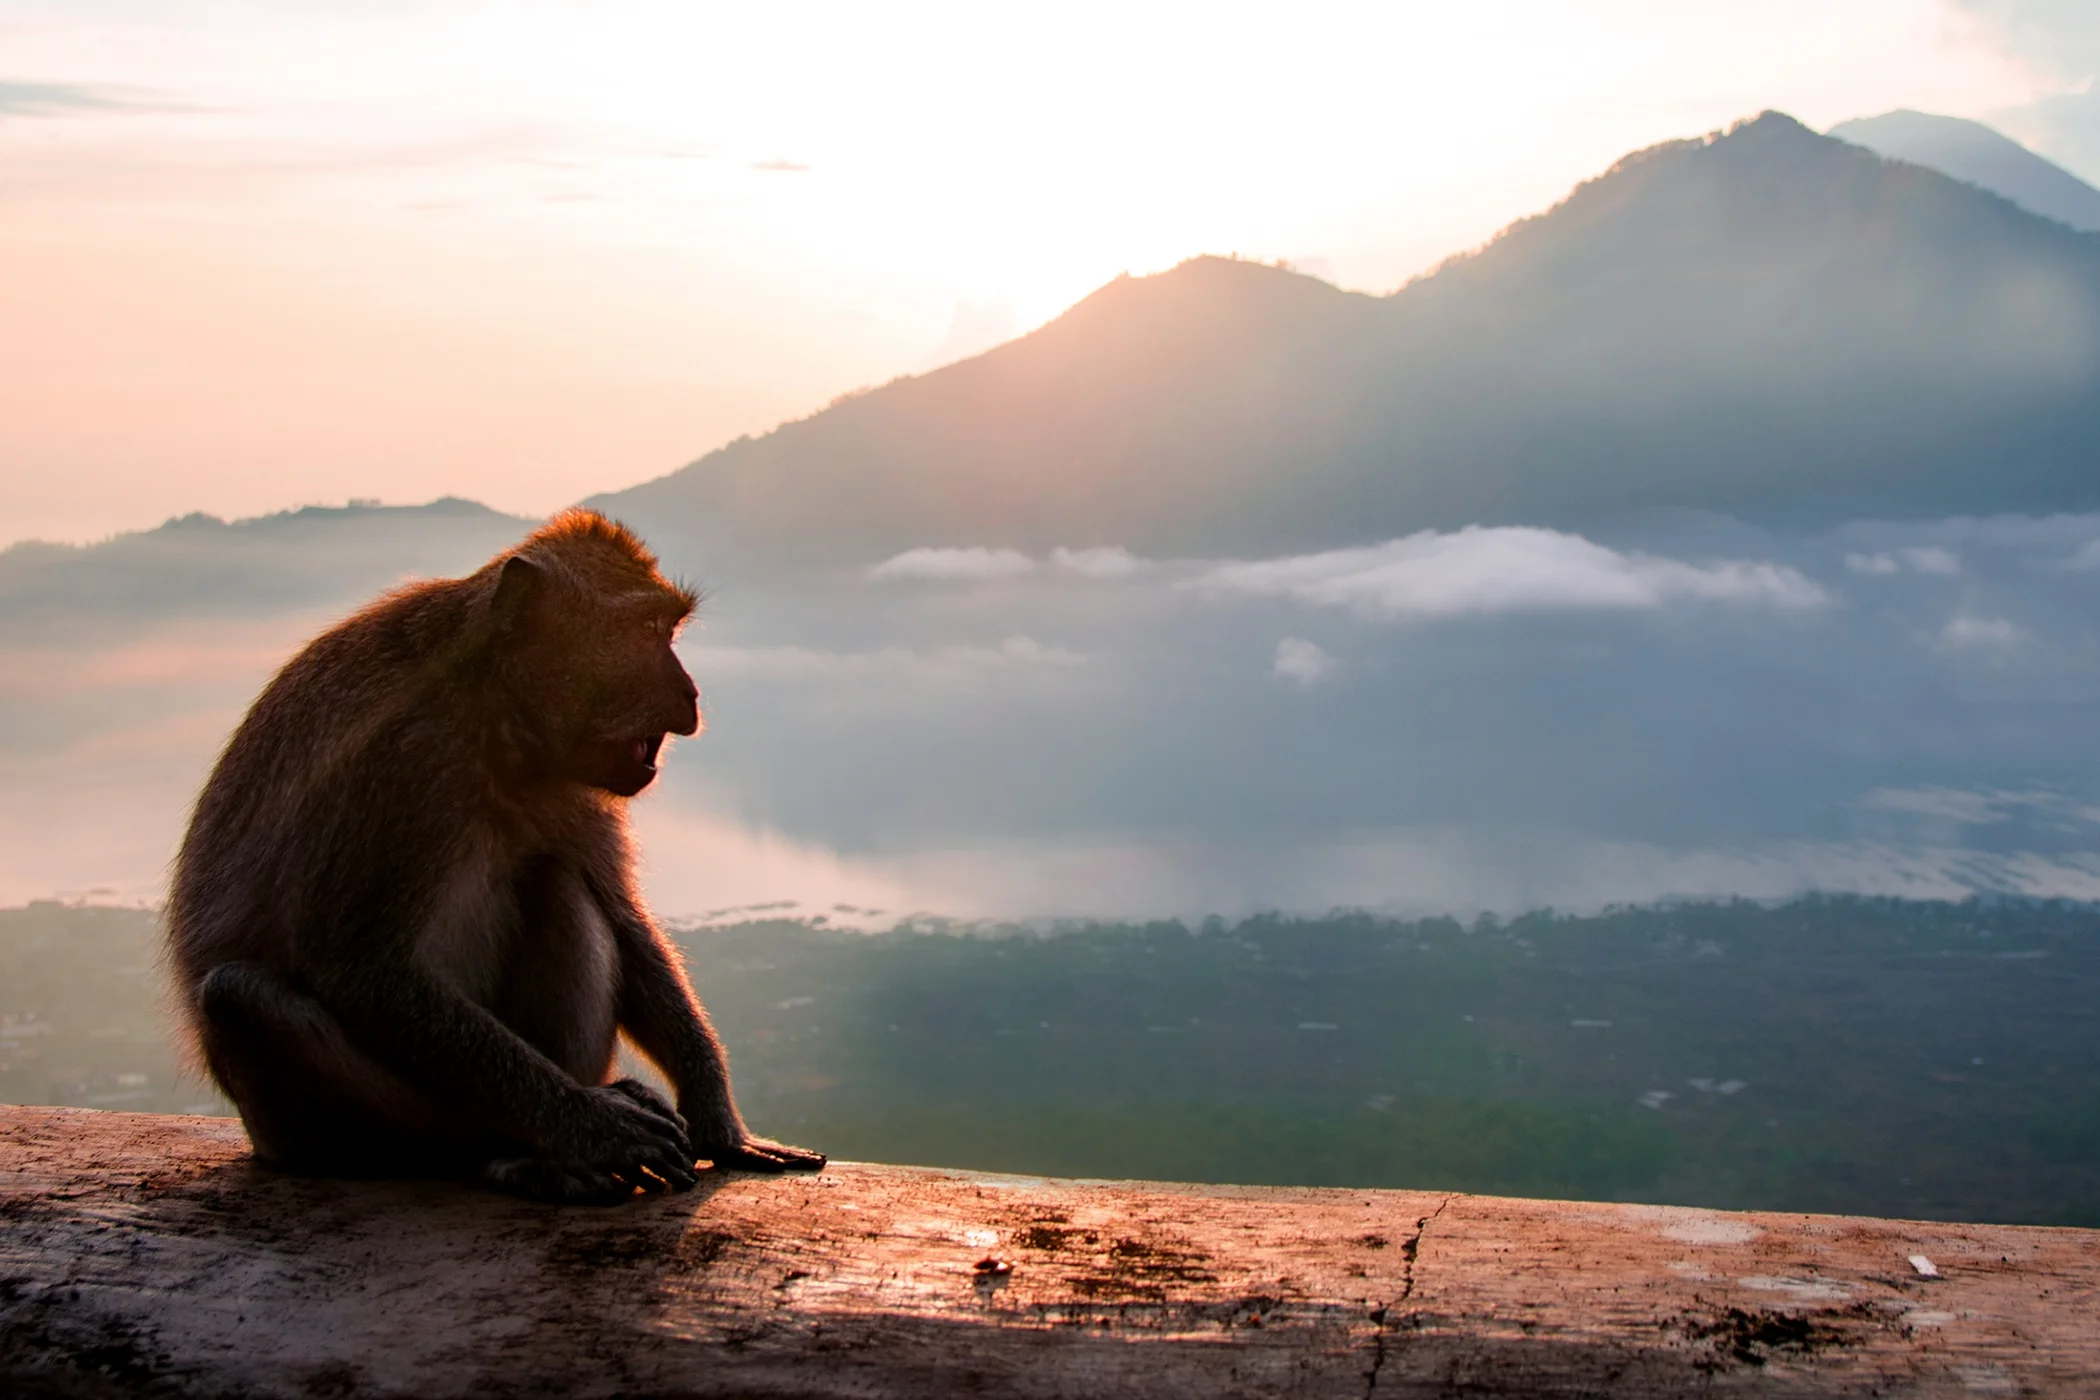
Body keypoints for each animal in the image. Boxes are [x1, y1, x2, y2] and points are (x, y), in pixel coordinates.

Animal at [165, 509, 824, 1204]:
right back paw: (525, 1151)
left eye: (667, 629)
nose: (690, 693)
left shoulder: (575, 785)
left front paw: (720, 1124)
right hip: (361, 1122)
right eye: (647, 631)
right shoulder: (402, 759)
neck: (494, 717)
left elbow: (621, 917)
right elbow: (361, 967)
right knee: (241, 999)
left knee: (558, 882)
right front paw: (594, 1126)